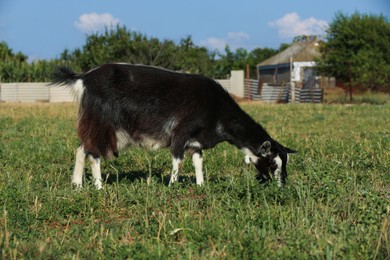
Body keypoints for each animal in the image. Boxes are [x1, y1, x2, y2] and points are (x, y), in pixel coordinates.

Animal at [51, 63, 296, 189]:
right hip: (103, 124)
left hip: (102, 128)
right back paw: (99, 186)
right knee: (93, 153)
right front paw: (172, 186)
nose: (282, 185)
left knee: (81, 148)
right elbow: (177, 161)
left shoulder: (196, 141)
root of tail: (82, 78)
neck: (216, 110)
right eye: (272, 163)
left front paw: (201, 185)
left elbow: (198, 162)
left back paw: (77, 185)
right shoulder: (180, 133)